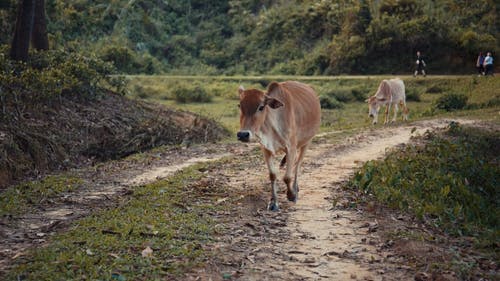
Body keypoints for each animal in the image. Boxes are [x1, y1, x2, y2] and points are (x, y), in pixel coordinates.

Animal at [237, 81, 320, 210]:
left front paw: (291, 195)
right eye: (239, 106)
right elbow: (272, 175)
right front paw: (274, 202)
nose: (243, 134)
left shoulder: (291, 148)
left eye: (261, 107)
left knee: (297, 165)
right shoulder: (266, 149)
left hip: (307, 142)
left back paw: (295, 188)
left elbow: (287, 177)